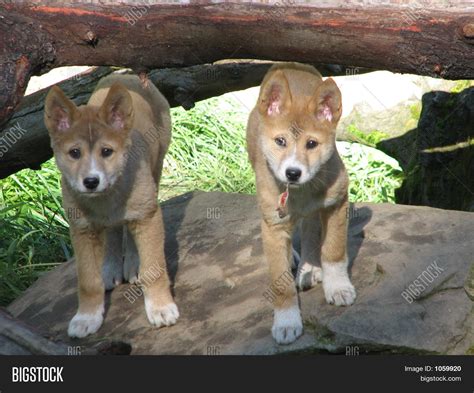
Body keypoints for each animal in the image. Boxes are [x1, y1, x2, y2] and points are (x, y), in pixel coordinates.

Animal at [45, 74, 178, 336]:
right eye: (74, 153)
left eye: (106, 151)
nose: (91, 181)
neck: (105, 198)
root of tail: (123, 74)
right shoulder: (82, 228)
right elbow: (88, 282)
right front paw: (87, 317)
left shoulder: (148, 216)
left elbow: (154, 268)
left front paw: (160, 307)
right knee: (114, 231)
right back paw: (110, 267)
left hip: (155, 172)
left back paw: (133, 266)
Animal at [246, 63, 354, 344]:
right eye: (280, 141)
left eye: (312, 144)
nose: (293, 173)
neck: (300, 192)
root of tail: (291, 65)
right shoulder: (272, 225)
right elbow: (281, 285)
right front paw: (286, 322)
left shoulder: (337, 203)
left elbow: (333, 251)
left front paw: (338, 287)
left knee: (310, 228)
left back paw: (309, 267)